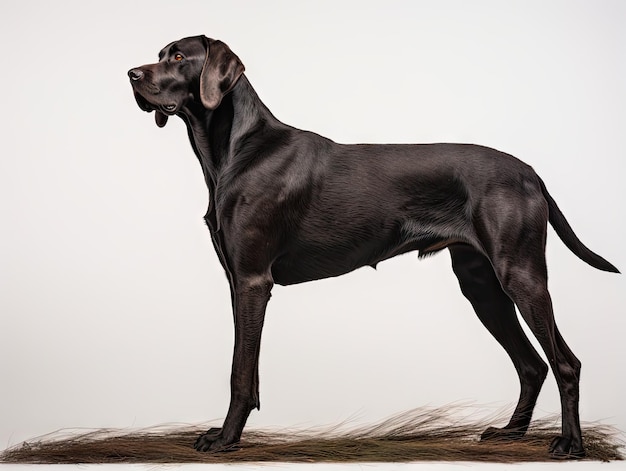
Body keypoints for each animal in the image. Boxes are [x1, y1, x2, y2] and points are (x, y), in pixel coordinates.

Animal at [129, 35, 616, 460]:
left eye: (178, 57)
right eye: (160, 54)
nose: (131, 74)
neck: (238, 149)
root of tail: (531, 172)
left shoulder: (251, 282)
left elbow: (239, 372)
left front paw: (226, 439)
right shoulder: (238, 283)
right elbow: (248, 369)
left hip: (521, 276)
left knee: (565, 363)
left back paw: (570, 445)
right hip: (482, 287)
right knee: (532, 365)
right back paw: (510, 434)